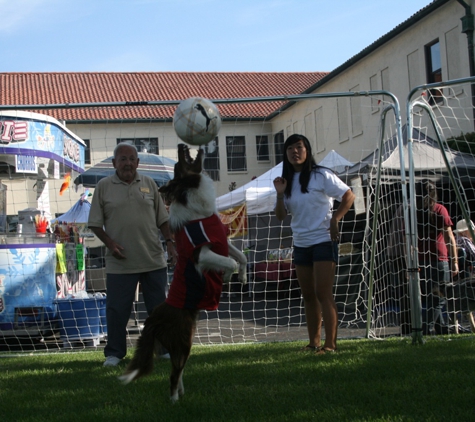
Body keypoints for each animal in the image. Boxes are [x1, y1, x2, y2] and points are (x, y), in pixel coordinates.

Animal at [119, 143, 247, 400]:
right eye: (179, 165)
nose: (180, 145)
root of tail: (153, 319)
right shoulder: (201, 254)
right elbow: (230, 262)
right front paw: (228, 276)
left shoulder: (221, 242)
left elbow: (241, 257)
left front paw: (244, 276)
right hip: (183, 342)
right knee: (172, 375)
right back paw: (176, 401)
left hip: (184, 342)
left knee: (178, 373)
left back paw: (183, 394)